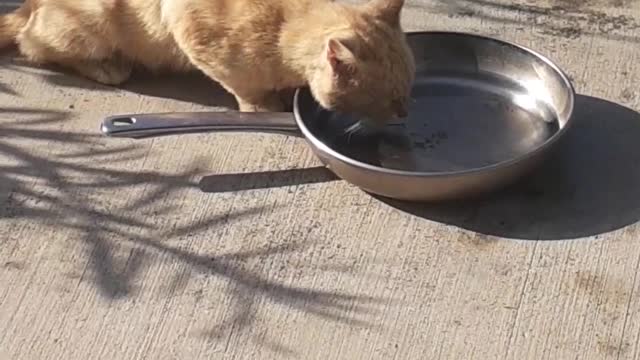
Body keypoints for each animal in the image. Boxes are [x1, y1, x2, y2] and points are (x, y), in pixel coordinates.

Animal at [1, 0, 416, 124]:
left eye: (408, 90)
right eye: (388, 98)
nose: (404, 112)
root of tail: (30, 5)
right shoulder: (193, 30)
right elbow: (246, 87)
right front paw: (263, 106)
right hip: (92, 21)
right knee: (32, 44)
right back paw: (108, 65)